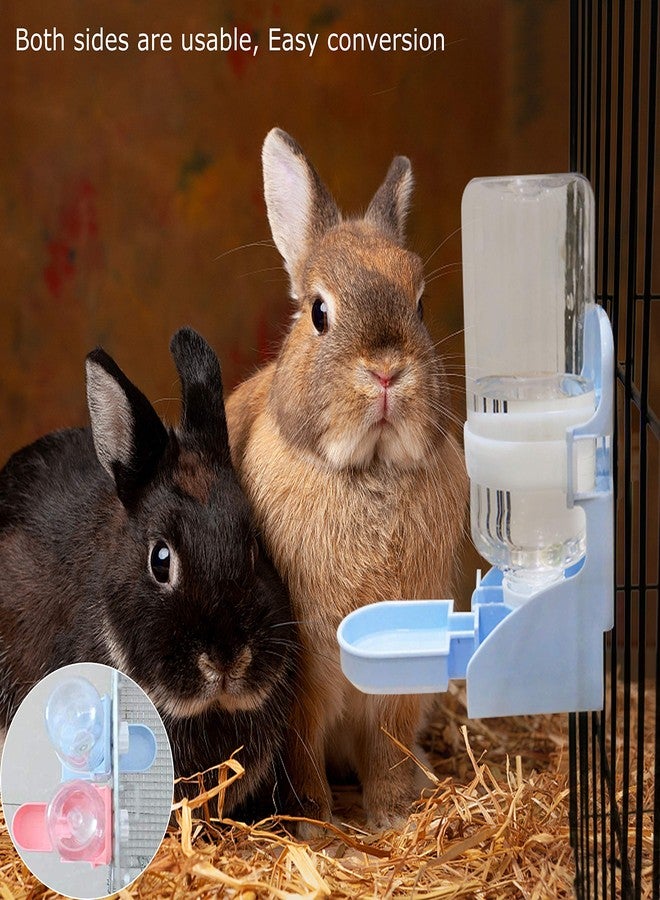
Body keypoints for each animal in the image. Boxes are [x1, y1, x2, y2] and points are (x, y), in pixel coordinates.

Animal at [225, 128, 469, 833]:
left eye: (420, 303)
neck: (369, 471)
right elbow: (303, 756)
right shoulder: (304, 682)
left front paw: (393, 817)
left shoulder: (400, 679)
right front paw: (319, 830)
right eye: (318, 312)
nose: (386, 371)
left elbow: (386, 749)